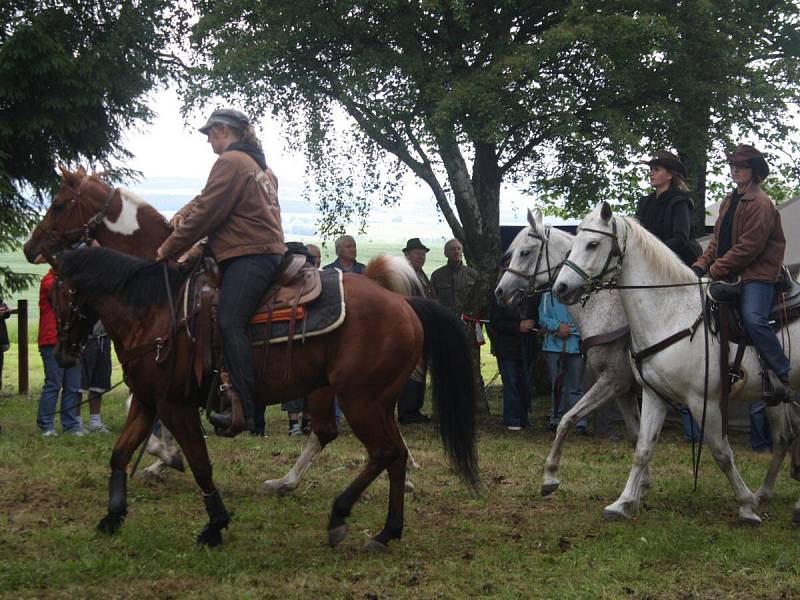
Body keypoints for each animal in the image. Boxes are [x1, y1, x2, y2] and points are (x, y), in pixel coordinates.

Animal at [496, 209, 640, 494]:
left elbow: (567, 419)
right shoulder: (625, 389)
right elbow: (638, 439)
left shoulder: (613, 381)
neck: (608, 313)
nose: (500, 291)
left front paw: (550, 477)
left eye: (525, 252)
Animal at [552, 204, 800, 524]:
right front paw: (622, 503)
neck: (670, 313)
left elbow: (722, 452)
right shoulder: (653, 395)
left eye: (593, 244)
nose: (561, 287)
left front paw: (746, 506)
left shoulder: (702, 401)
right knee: (785, 437)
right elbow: (642, 448)